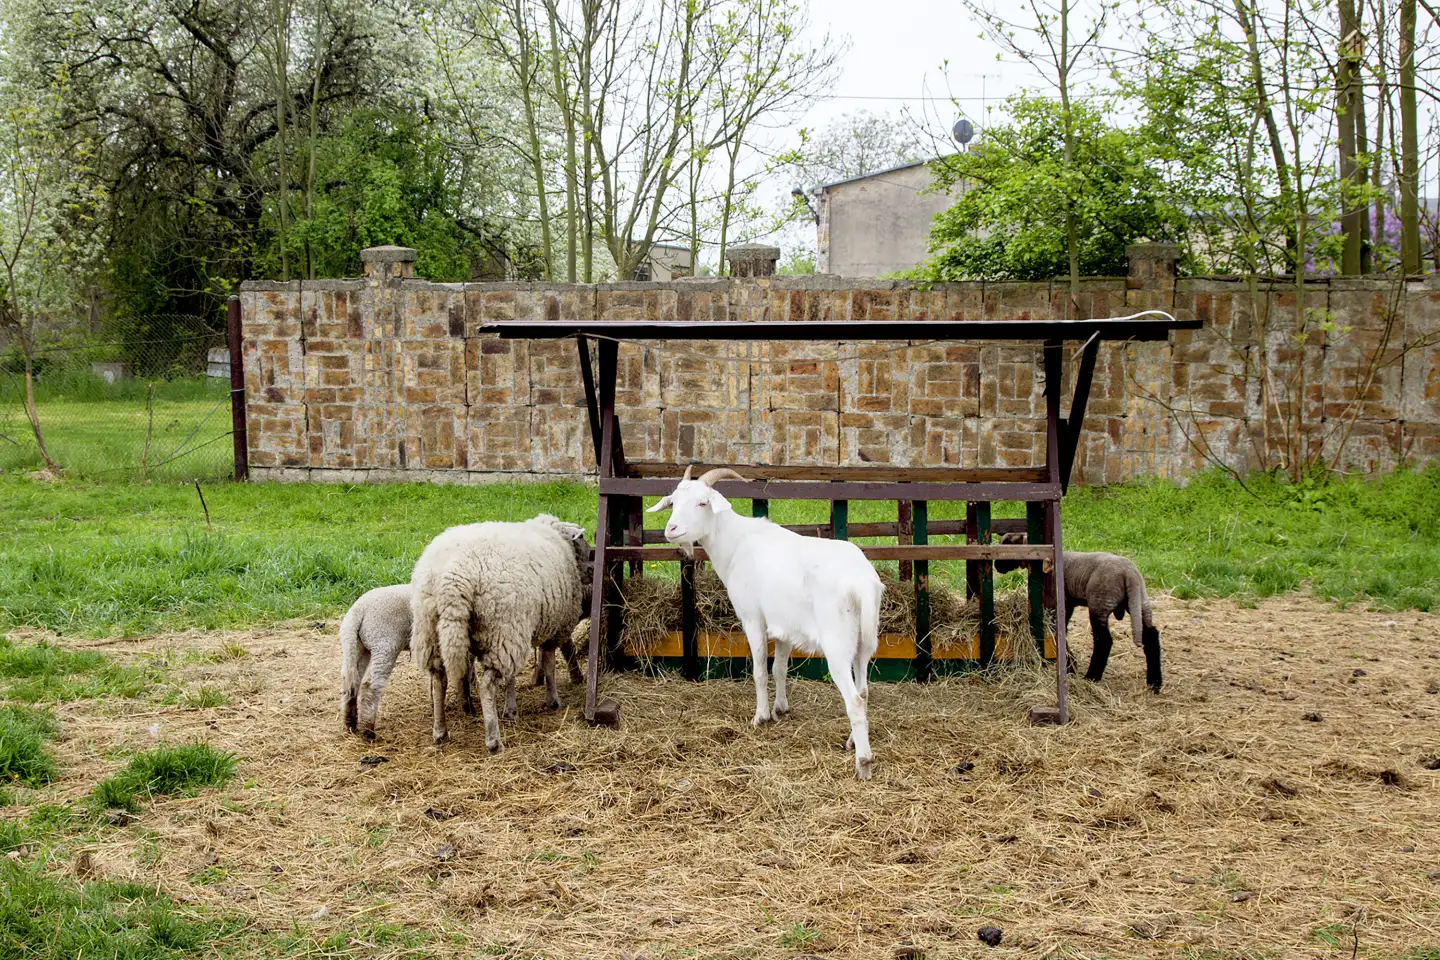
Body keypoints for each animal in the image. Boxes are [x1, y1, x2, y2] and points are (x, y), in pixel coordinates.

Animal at [648, 466, 884, 779]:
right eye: (673, 502)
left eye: (703, 503)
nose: (672, 530)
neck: (736, 544)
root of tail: (862, 583)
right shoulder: (784, 627)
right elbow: (779, 669)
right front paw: (780, 709)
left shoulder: (753, 618)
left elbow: (759, 670)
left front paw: (760, 717)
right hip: (863, 642)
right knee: (863, 691)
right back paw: (852, 742)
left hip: (837, 643)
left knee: (855, 700)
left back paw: (863, 763)